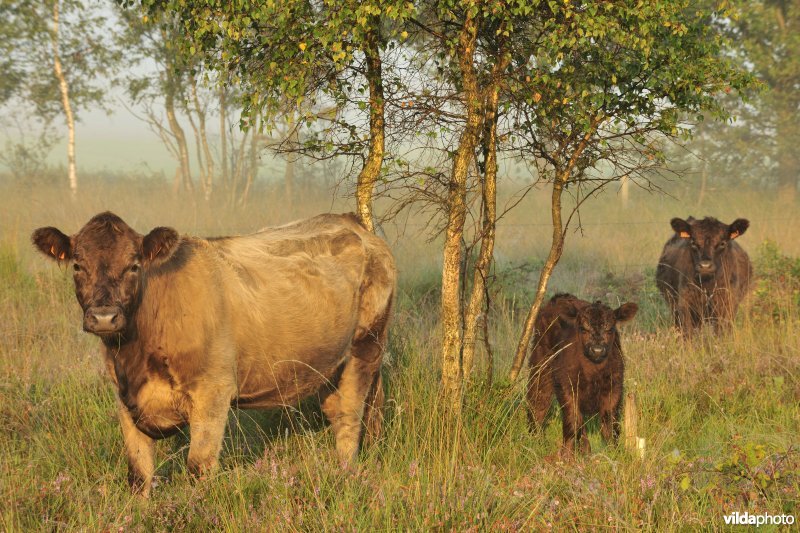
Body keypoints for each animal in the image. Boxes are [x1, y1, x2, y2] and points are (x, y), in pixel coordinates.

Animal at [32, 211, 396, 494]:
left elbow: (199, 466)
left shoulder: (213, 392)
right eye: (78, 265)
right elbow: (139, 475)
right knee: (356, 408)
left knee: (348, 417)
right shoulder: (125, 399)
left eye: (134, 266)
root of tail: (352, 223)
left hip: (366, 344)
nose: (105, 317)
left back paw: (346, 476)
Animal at [524, 294, 636, 456]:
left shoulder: (614, 389)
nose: (597, 350)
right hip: (541, 364)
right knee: (538, 401)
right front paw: (566, 455)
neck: (593, 372)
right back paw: (536, 438)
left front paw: (613, 453)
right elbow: (573, 421)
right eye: (583, 329)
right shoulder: (567, 387)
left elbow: (609, 424)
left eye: (610, 329)